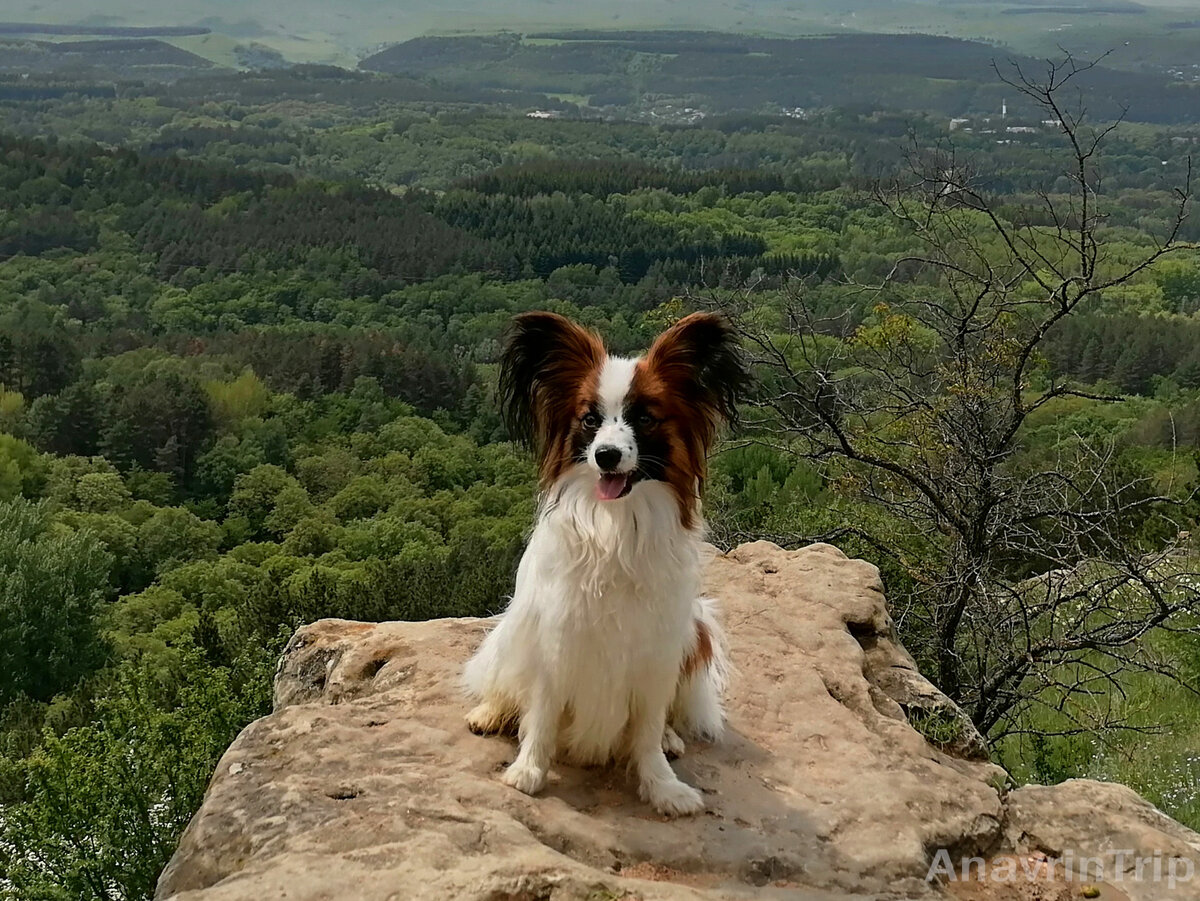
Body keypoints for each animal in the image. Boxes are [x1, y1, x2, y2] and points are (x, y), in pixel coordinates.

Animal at [460, 309, 748, 815]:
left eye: (645, 418)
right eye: (590, 420)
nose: (607, 455)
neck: (615, 525)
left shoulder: (656, 649)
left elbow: (648, 728)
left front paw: (662, 785)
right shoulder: (556, 636)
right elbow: (541, 712)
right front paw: (528, 771)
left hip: (696, 632)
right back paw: (490, 712)